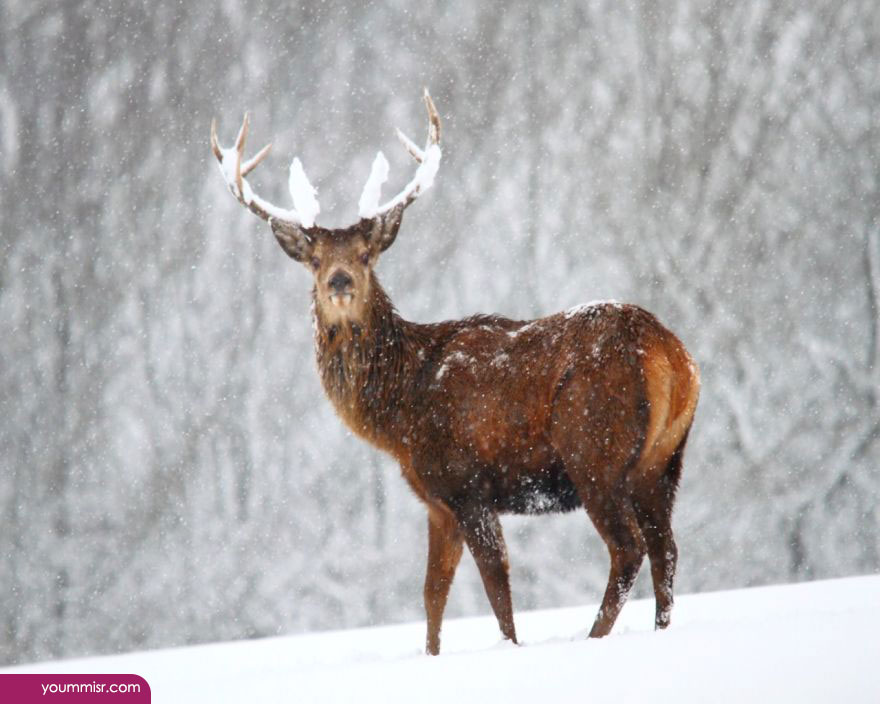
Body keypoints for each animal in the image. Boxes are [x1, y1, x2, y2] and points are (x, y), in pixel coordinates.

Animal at [210, 90, 700, 655]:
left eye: (366, 254)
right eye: (314, 259)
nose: (339, 281)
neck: (401, 413)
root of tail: (671, 355)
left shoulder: (467, 482)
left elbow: (497, 585)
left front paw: (511, 648)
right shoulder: (437, 502)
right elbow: (432, 593)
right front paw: (432, 655)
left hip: (594, 449)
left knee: (628, 548)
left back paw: (593, 637)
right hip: (663, 462)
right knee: (667, 550)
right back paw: (661, 630)